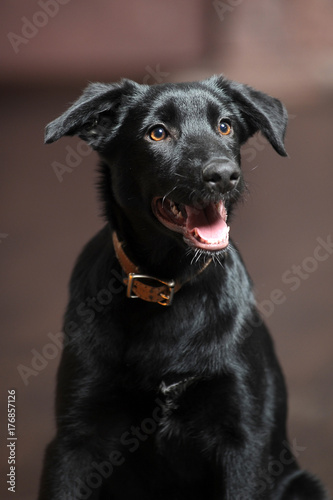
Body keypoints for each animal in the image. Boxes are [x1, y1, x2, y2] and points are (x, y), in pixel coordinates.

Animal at [38, 76, 326, 498]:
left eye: (225, 126)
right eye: (157, 133)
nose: (223, 175)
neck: (167, 284)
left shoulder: (245, 442)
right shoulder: (74, 442)